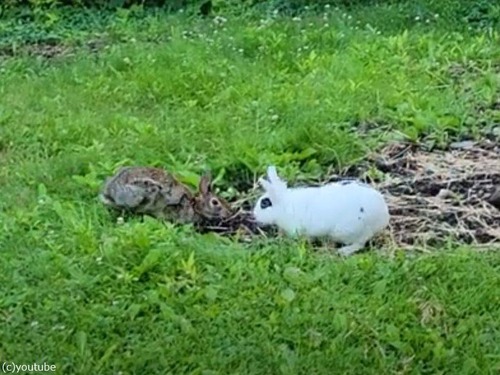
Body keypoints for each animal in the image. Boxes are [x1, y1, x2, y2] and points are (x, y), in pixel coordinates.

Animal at [254, 167, 390, 258]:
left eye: (264, 203)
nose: (254, 214)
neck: (284, 205)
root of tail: (383, 217)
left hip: (350, 231)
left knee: (360, 243)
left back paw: (344, 251)